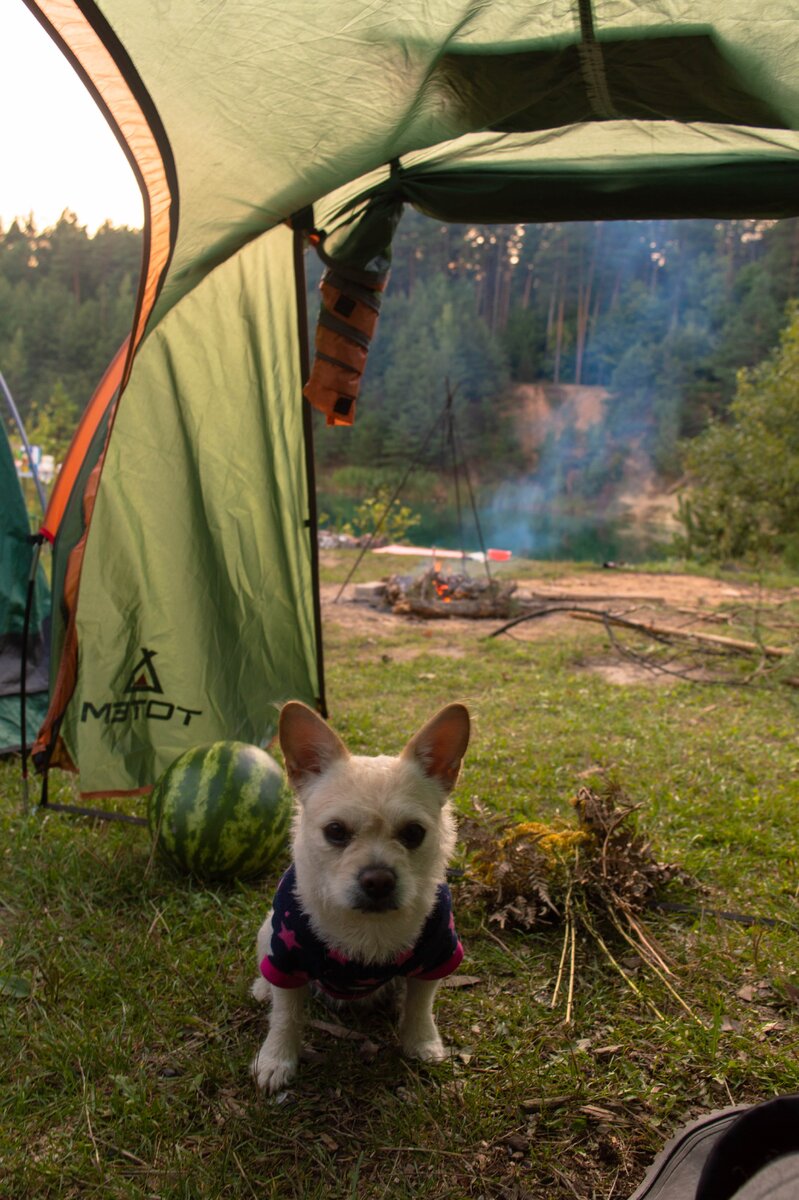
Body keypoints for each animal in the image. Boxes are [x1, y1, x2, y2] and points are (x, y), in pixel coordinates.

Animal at [251, 700, 470, 1094]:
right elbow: (285, 1016)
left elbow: (421, 1004)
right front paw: (276, 1059)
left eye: (414, 833)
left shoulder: (437, 955)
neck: (368, 928)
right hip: (268, 932)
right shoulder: (287, 962)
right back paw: (262, 987)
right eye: (335, 832)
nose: (378, 880)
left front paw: (422, 1041)